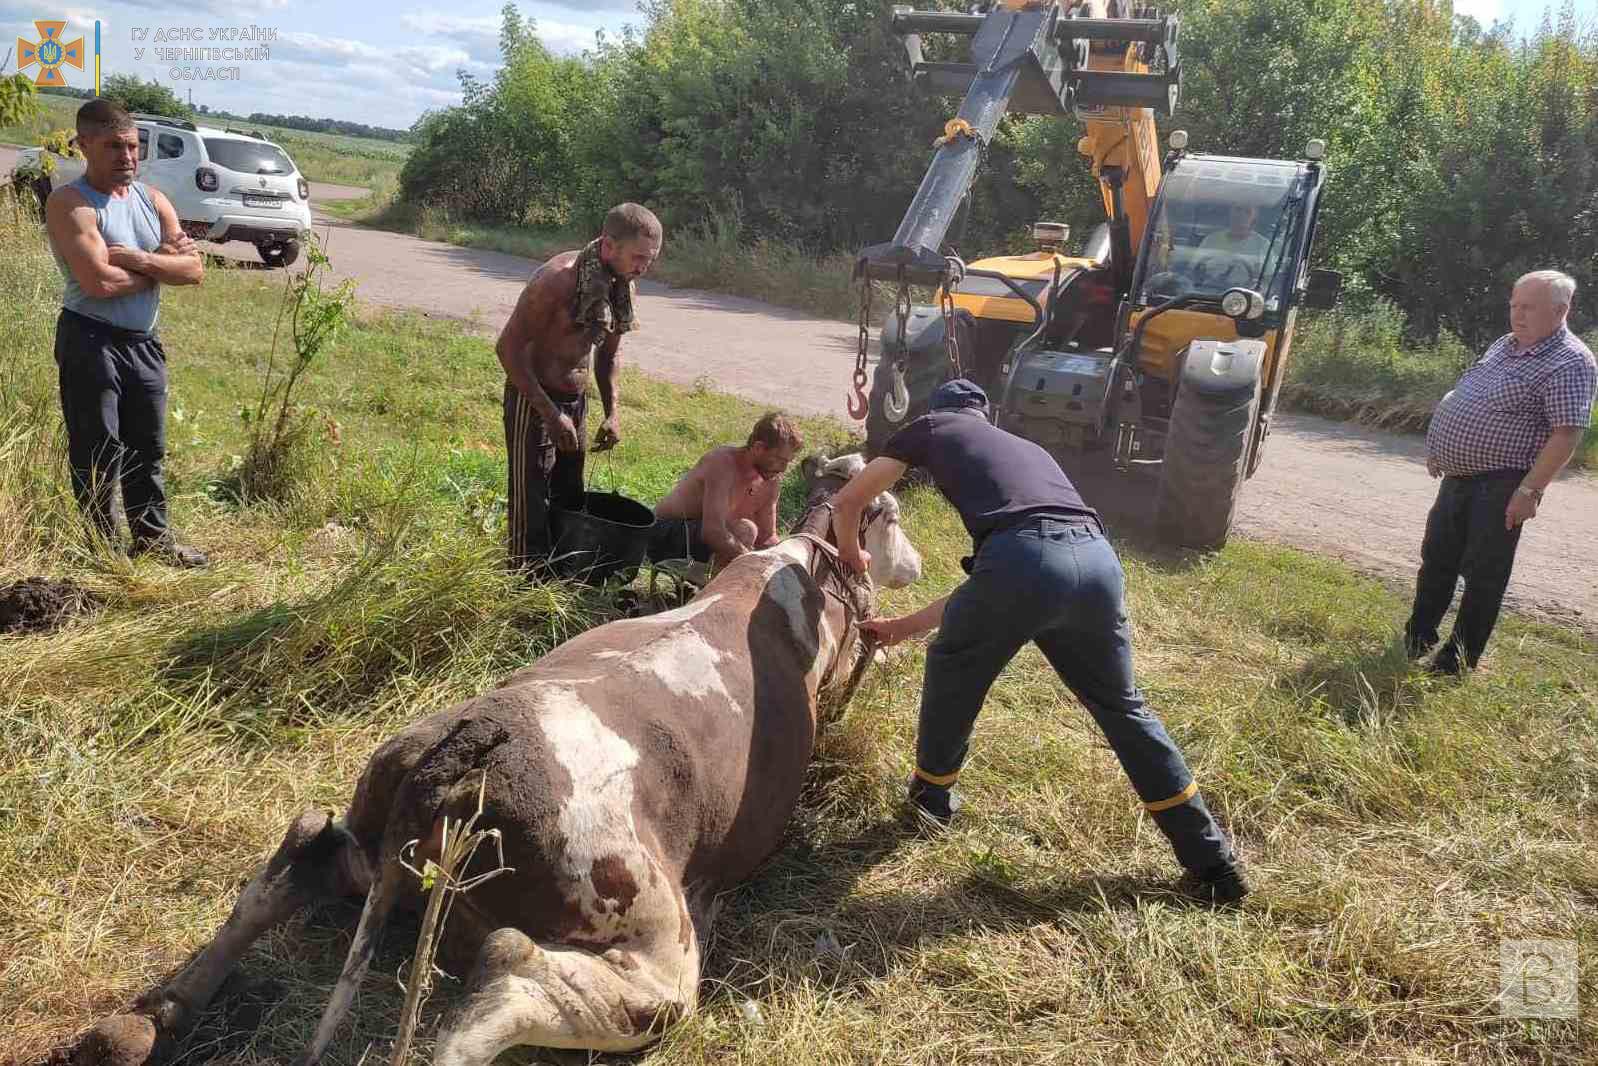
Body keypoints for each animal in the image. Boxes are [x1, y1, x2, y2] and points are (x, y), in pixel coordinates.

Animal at [68, 453, 926, 1066]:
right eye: (893, 518)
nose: (919, 564)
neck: (786, 580)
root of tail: (469, 747)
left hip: (374, 840)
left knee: (296, 857)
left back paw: (153, 1017)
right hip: (660, 960)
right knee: (503, 979)